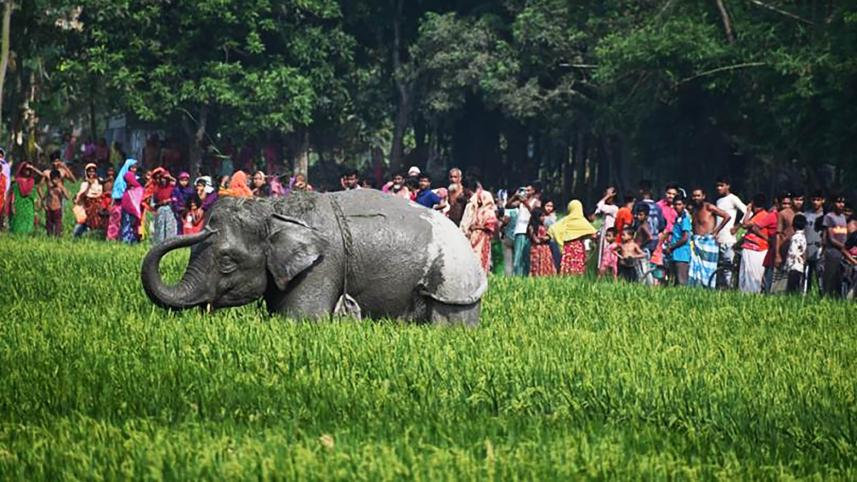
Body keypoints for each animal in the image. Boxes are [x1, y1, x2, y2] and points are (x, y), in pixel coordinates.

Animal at [141, 189, 487, 325]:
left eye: (227, 261)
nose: (204, 227)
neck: (275, 210)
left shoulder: (321, 266)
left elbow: (302, 318)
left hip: (454, 289)